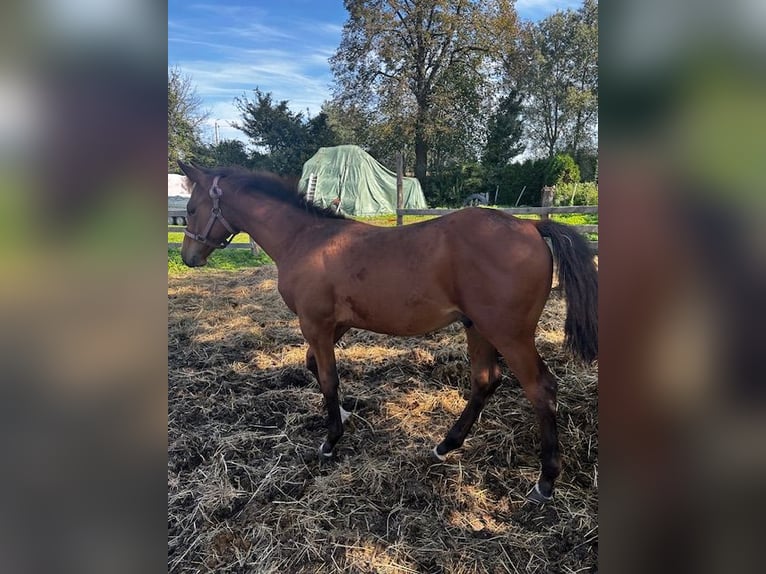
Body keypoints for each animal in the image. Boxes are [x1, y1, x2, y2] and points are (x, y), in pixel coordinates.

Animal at [180, 162, 600, 504]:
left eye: (190, 210)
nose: (188, 257)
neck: (306, 238)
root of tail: (531, 224)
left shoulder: (315, 323)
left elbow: (328, 377)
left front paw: (331, 440)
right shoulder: (333, 326)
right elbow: (314, 366)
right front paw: (345, 414)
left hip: (509, 334)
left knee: (541, 389)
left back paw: (545, 482)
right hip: (478, 328)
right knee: (485, 380)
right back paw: (446, 445)